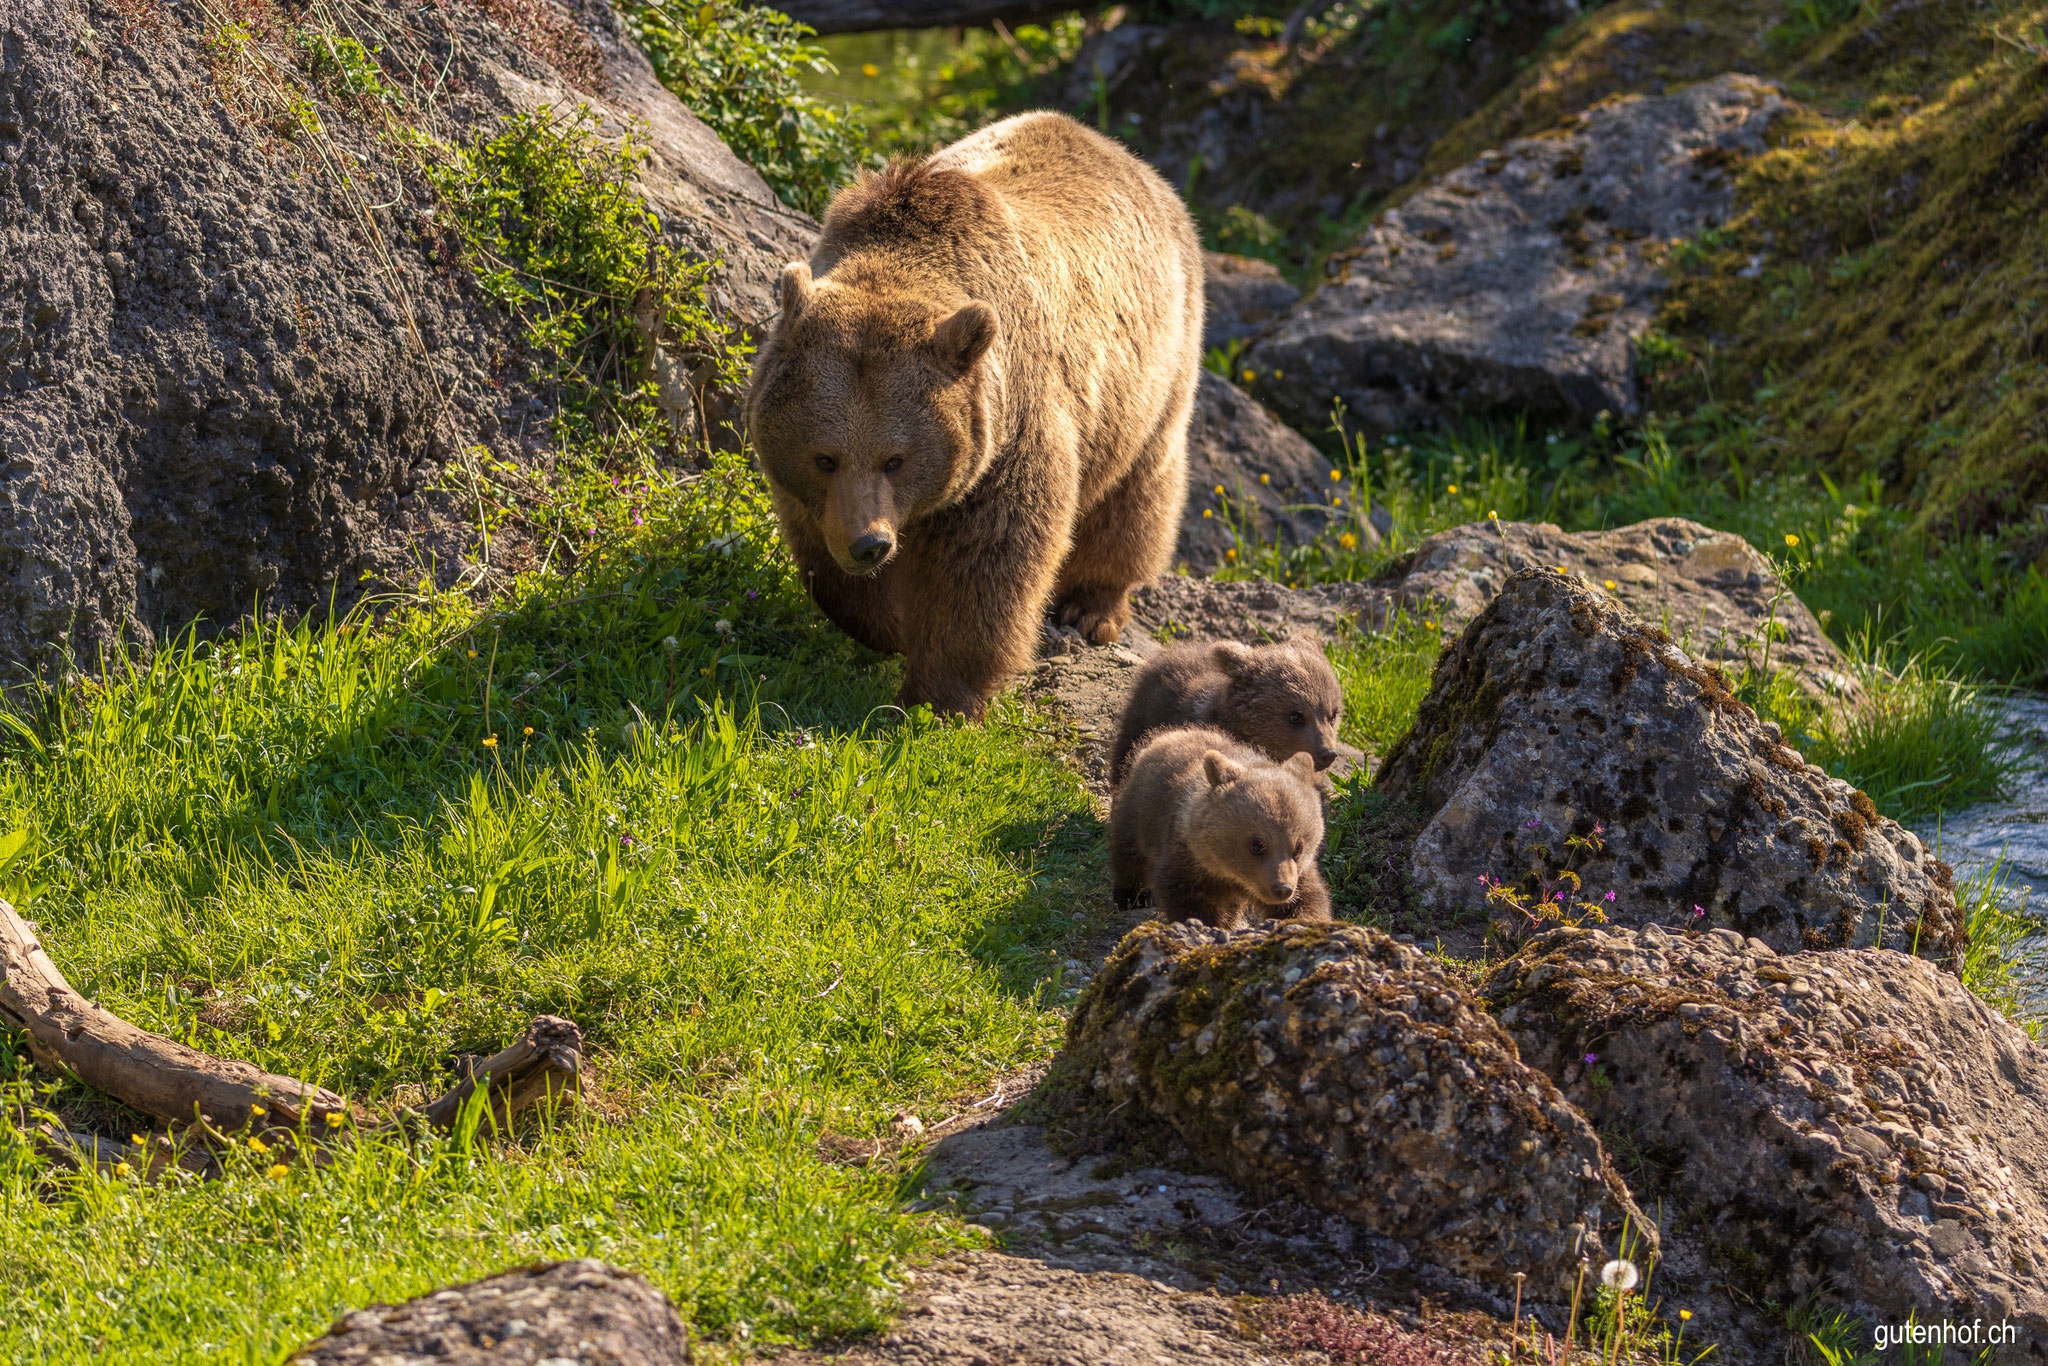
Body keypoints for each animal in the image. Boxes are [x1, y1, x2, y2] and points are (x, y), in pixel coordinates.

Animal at [743, 111, 1204, 719]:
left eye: (896, 458)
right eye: (825, 457)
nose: (871, 544)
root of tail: (1127, 156)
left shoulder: (1008, 431)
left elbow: (989, 562)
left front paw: (939, 696)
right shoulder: (805, 479)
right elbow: (828, 564)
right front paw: (888, 619)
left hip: (1153, 376)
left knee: (1138, 492)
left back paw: (1091, 607)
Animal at [1109, 724, 1333, 930]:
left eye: (1299, 848)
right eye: (1257, 844)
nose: (1281, 888)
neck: (1229, 874)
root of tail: (1174, 732)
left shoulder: (1299, 874)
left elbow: (1307, 900)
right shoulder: (1186, 856)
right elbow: (1187, 898)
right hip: (1139, 811)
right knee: (1128, 853)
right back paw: (1133, 896)